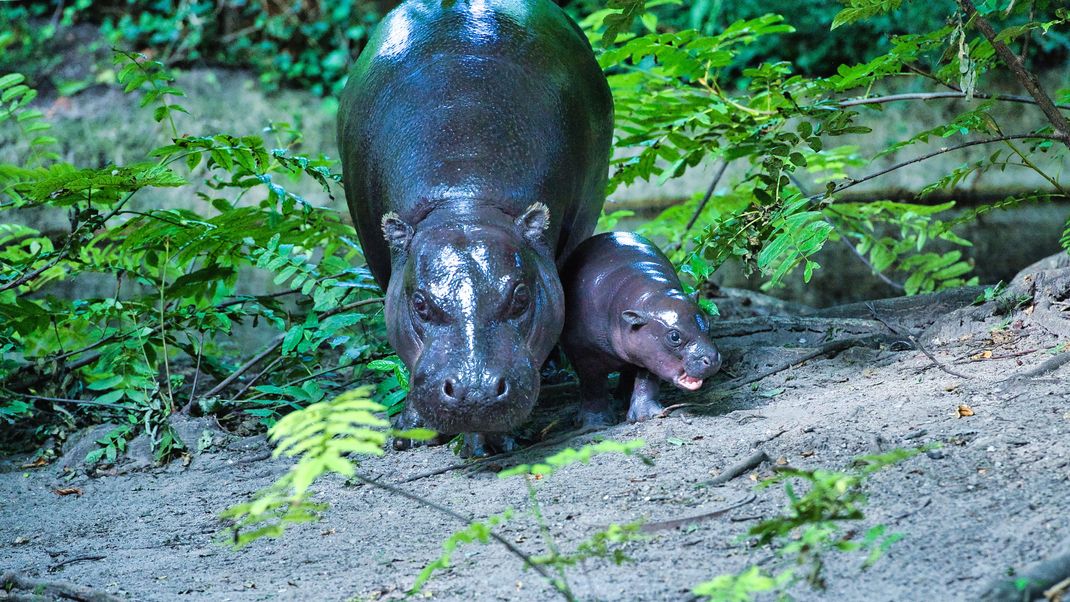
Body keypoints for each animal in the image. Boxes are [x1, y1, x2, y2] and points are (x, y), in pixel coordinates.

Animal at [338, 0, 616, 455]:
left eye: (520, 297)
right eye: (420, 304)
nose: (475, 391)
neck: (465, 200)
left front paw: (492, 442)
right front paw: (410, 433)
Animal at [556, 232, 723, 427]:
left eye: (707, 323)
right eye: (674, 336)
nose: (713, 359)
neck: (650, 294)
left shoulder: (650, 353)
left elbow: (647, 380)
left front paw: (647, 415)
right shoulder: (584, 353)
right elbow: (592, 384)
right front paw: (596, 423)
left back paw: (623, 401)